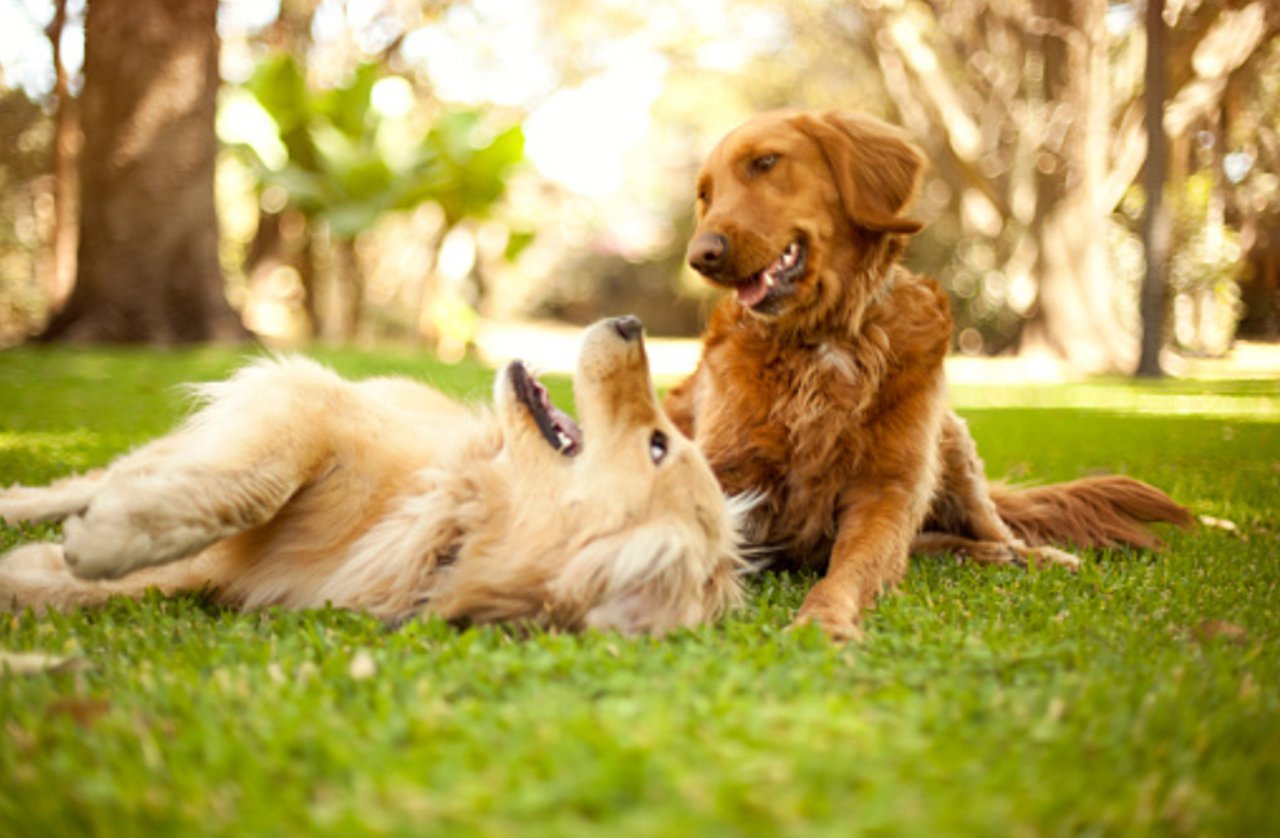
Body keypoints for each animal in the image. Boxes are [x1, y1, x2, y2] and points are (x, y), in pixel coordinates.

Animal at [0, 318, 747, 632]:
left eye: (658, 445)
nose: (631, 320)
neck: (453, 518)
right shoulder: (307, 404)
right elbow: (253, 486)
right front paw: (110, 539)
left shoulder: (222, 573)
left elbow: (84, 586)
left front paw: (50, 568)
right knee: (90, 481)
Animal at [665, 108, 1192, 639]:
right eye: (705, 195)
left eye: (765, 162)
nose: (701, 256)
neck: (825, 340)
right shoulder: (726, 474)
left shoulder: (887, 490)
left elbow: (851, 569)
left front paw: (823, 620)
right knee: (931, 543)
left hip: (952, 445)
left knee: (993, 528)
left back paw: (1031, 555)